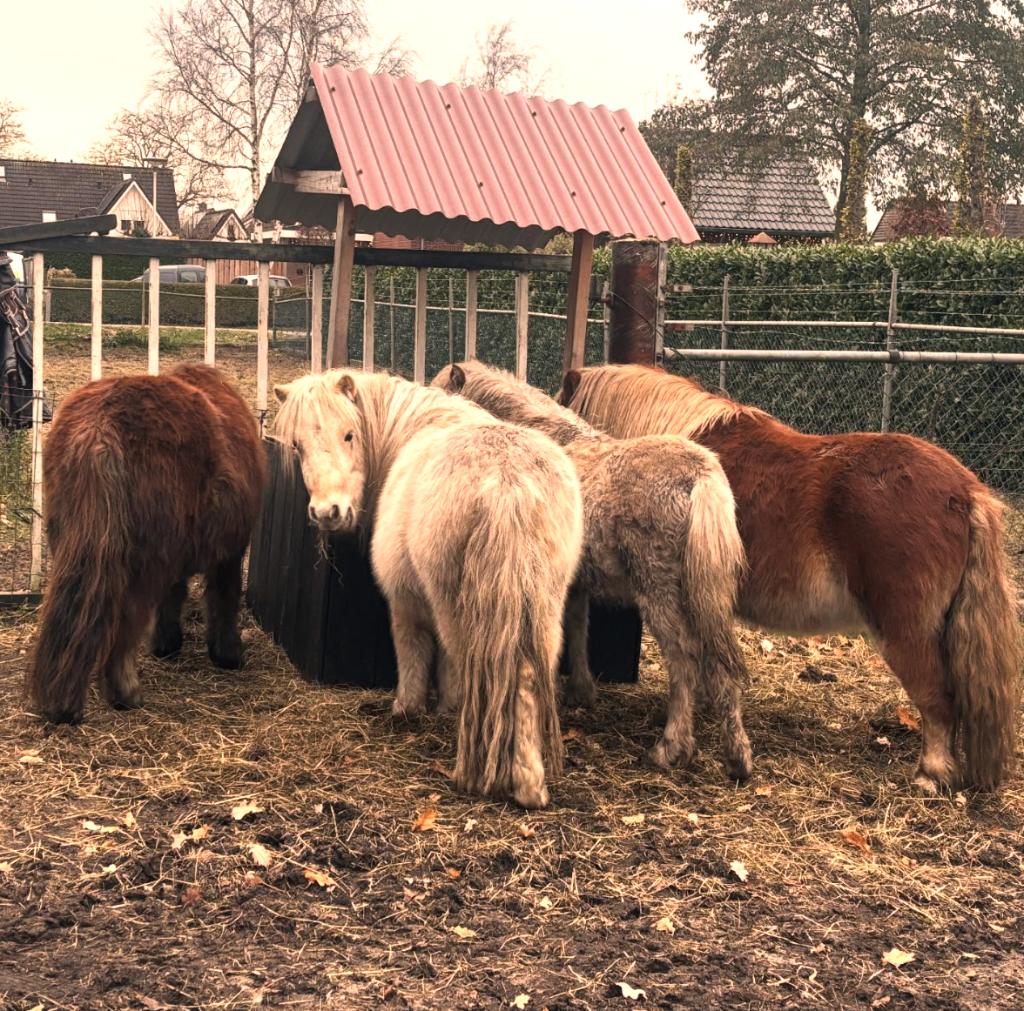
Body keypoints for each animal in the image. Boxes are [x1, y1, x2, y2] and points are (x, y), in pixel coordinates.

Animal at [29, 364, 266, 725]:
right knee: (126, 625)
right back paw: (126, 694)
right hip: (144, 564)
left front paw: (167, 645)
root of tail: (98, 429)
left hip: (75, 548)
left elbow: (173, 597)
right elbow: (223, 599)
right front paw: (227, 654)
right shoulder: (230, 551)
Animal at [272, 370, 583, 809]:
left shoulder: (406, 603)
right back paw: (529, 783)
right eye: (297, 445)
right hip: (542, 612)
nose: (327, 513)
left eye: (349, 435)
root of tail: (508, 484)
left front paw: (409, 707)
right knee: (523, 677)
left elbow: (417, 654)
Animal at [433, 360, 752, 781]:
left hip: (660, 591)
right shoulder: (577, 582)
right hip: (706, 595)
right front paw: (582, 691)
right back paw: (737, 758)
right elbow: (577, 626)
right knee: (719, 662)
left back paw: (671, 748)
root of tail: (698, 478)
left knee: (684, 658)